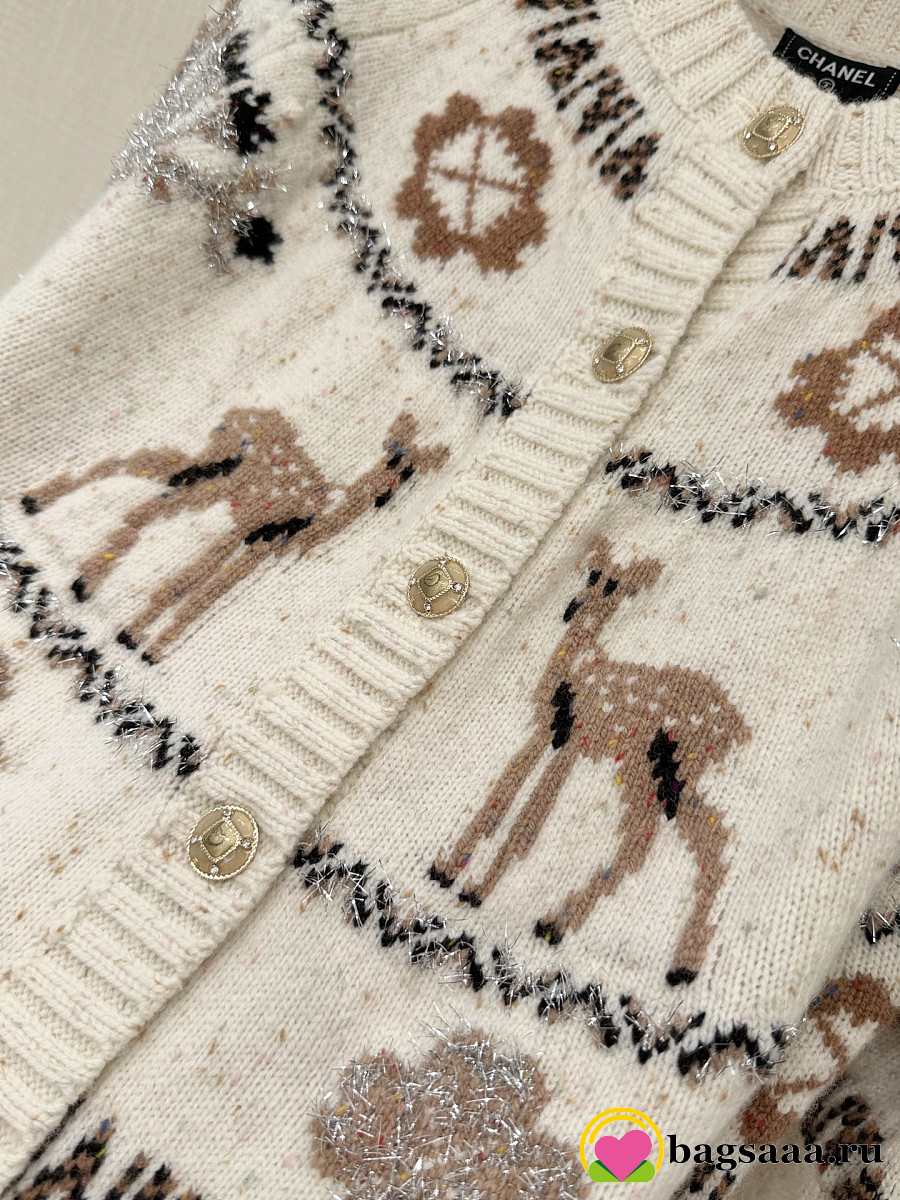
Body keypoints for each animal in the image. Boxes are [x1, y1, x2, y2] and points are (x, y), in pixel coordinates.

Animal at [21, 408, 448, 662]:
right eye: (397, 459)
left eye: (411, 469)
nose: (386, 494)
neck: (318, 515)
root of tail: (249, 411)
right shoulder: (250, 532)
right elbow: (185, 585)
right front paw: (140, 642)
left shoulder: (253, 543)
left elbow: (202, 589)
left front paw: (142, 644)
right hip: (215, 470)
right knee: (134, 481)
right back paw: (51, 530)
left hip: (210, 478)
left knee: (142, 493)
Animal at [430, 535, 751, 986]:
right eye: (593, 573)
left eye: (616, 585)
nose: (573, 605)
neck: (577, 662)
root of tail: (735, 726)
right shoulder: (544, 732)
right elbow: (503, 796)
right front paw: (448, 872)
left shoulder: (570, 740)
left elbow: (529, 820)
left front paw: (476, 890)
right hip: (669, 775)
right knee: (710, 840)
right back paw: (680, 966)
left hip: (655, 767)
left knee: (642, 843)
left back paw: (555, 923)